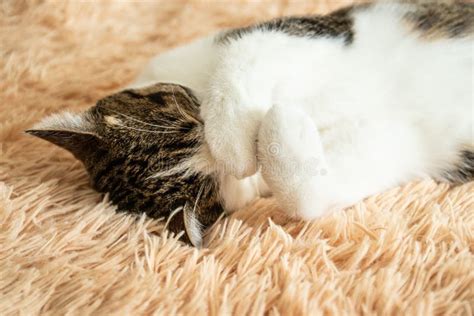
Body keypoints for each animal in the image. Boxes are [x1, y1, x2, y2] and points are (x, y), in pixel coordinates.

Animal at [30, 2, 474, 247]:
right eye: (213, 184)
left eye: (188, 122)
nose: (211, 145)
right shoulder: (404, 145)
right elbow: (311, 197)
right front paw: (283, 125)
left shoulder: (312, 30)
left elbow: (245, 52)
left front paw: (236, 136)